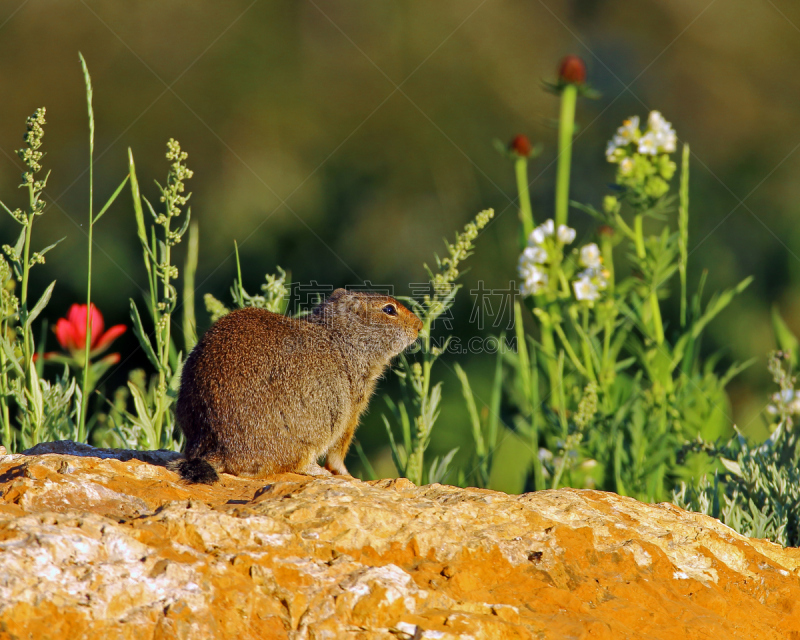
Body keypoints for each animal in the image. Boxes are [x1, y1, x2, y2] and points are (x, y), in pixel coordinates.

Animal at [171, 288, 422, 482]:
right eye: (389, 309)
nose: (419, 325)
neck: (341, 338)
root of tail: (215, 447)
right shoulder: (352, 406)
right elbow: (339, 448)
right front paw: (345, 474)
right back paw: (317, 470)